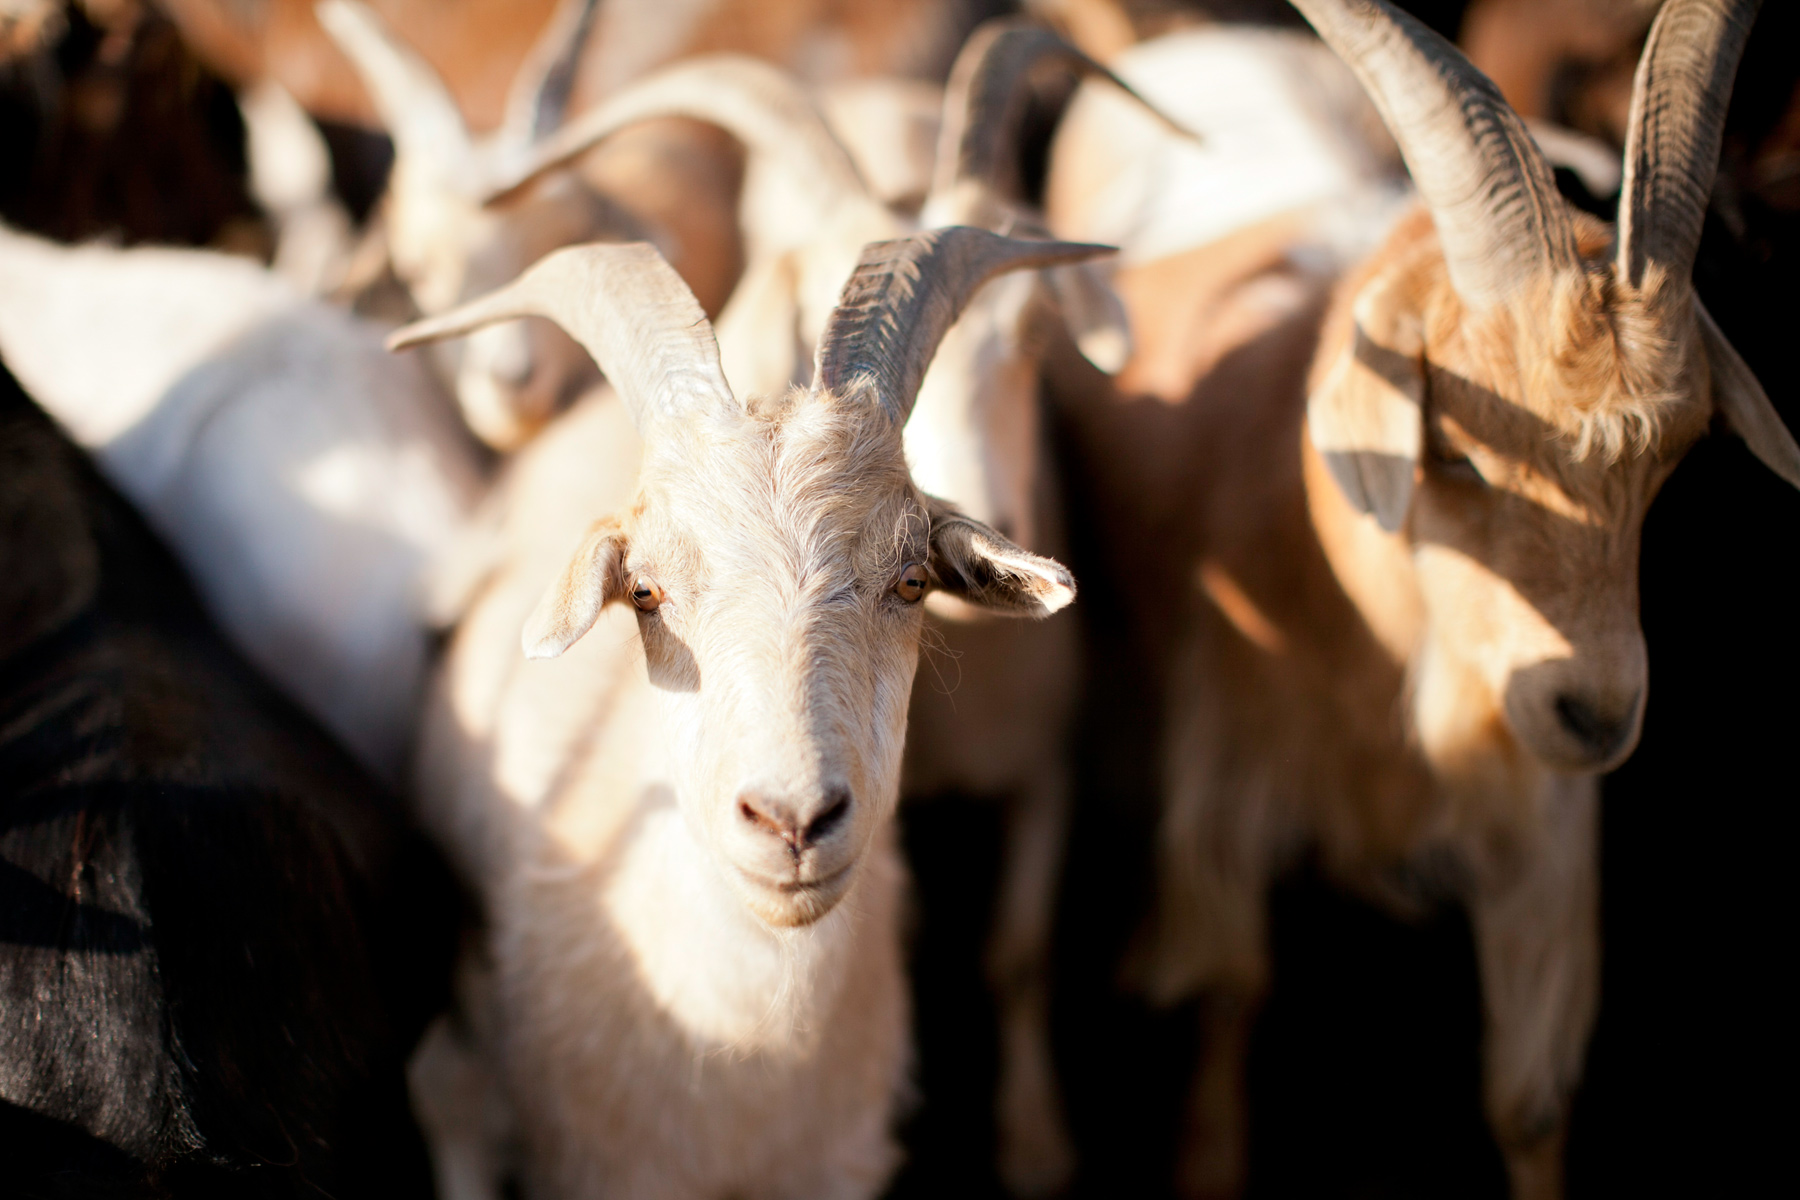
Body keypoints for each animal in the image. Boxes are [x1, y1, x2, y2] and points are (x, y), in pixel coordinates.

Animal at [1052, 1, 1799, 1196]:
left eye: (1674, 458)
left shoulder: (1537, 816)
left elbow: (1527, 1101)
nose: (1593, 714)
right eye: (1453, 448)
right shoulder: (1227, 785)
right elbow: (1227, 1013)